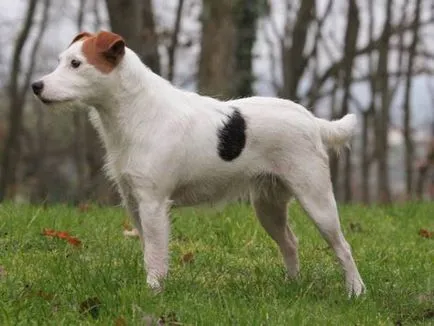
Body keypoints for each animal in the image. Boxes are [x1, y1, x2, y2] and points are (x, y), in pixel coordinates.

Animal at [32, 29, 366, 296]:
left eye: (76, 64)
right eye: (62, 60)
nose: (36, 86)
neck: (137, 111)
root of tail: (312, 121)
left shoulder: (153, 204)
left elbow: (155, 254)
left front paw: (153, 292)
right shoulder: (134, 202)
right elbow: (148, 249)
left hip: (316, 199)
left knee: (343, 247)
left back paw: (355, 290)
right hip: (268, 205)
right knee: (290, 243)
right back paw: (292, 286)